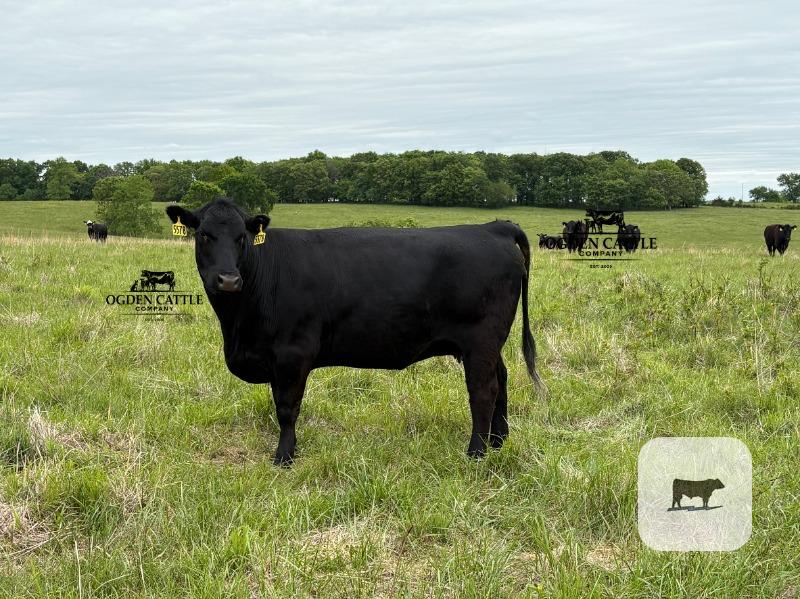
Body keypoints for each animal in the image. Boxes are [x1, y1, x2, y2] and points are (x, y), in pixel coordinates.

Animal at [166, 198, 543, 466]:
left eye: (241, 237)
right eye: (204, 235)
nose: (228, 279)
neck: (237, 327)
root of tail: (493, 227)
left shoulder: (292, 353)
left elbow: (286, 407)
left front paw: (284, 457)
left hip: (480, 340)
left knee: (483, 391)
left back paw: (476, 453)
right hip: (488, 344)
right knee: (502, 380)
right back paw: (499, 442)